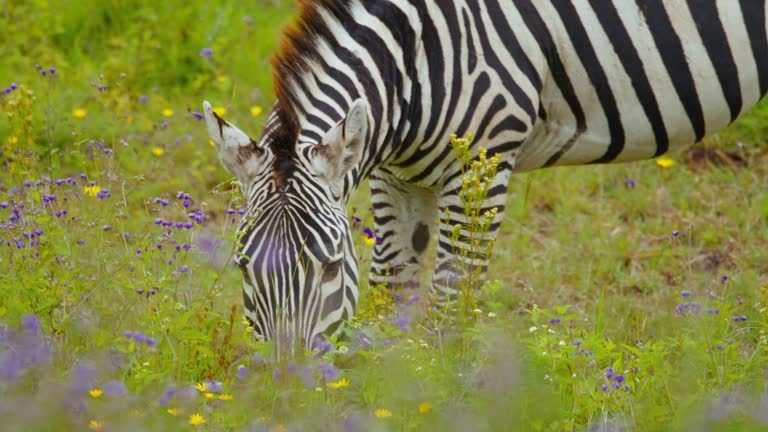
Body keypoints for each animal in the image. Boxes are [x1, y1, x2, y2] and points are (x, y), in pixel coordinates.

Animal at [202, 0, 768, 350]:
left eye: (331, 268)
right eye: (243, 268)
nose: (288, 387)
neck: (417, 60)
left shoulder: (483, 162)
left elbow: (449, 300)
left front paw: (439, 388)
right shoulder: (393, 174)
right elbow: (392, 287)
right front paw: (383, 387)